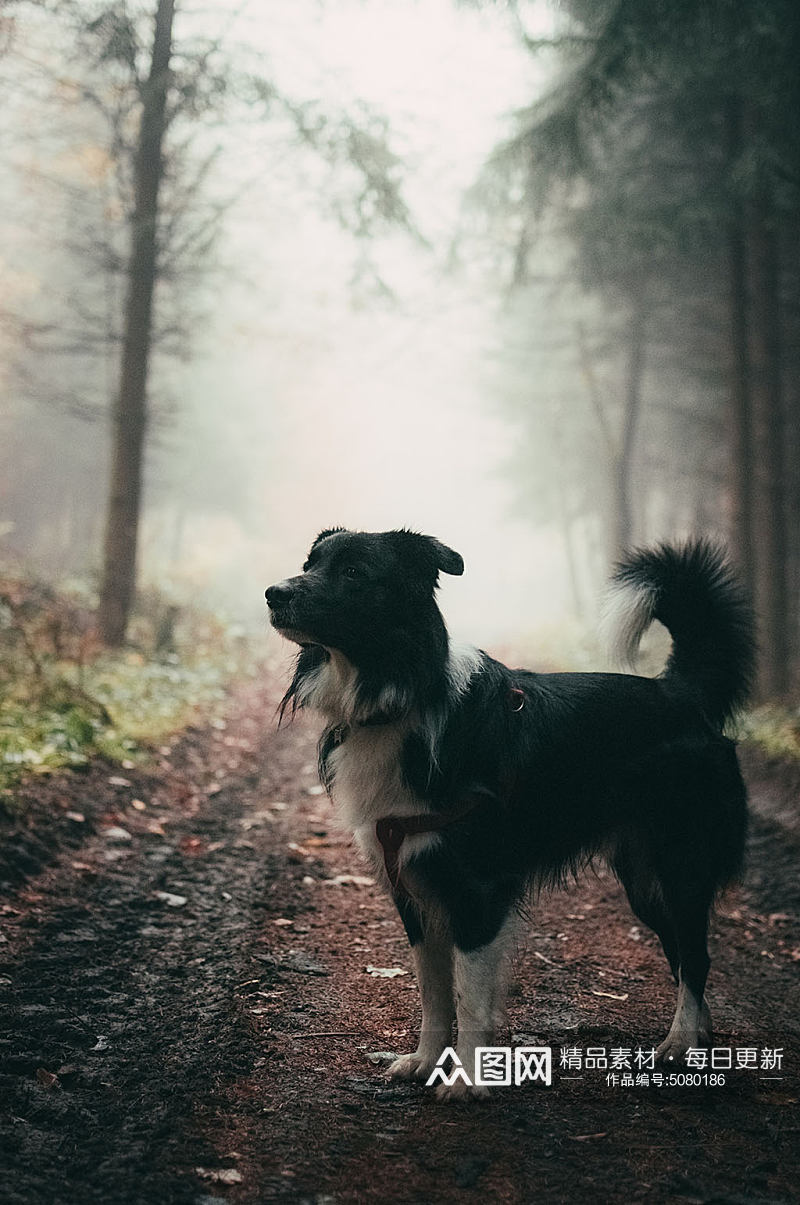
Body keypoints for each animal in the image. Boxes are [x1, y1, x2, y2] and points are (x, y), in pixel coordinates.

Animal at [267, 527, 756, 1103]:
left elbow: (470, 997)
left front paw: (469, 1080)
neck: (403, 695)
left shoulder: (477, 890)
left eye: (354, 573)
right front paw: (425, 1061)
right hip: (643, 879)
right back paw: (700, 1037)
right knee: (683, 953)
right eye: (310, 564)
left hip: (680, 862)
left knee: (696, 956)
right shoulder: (413, 887)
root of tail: (680, 693)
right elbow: (433, 992)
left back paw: (679, 1043)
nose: (274, 593)